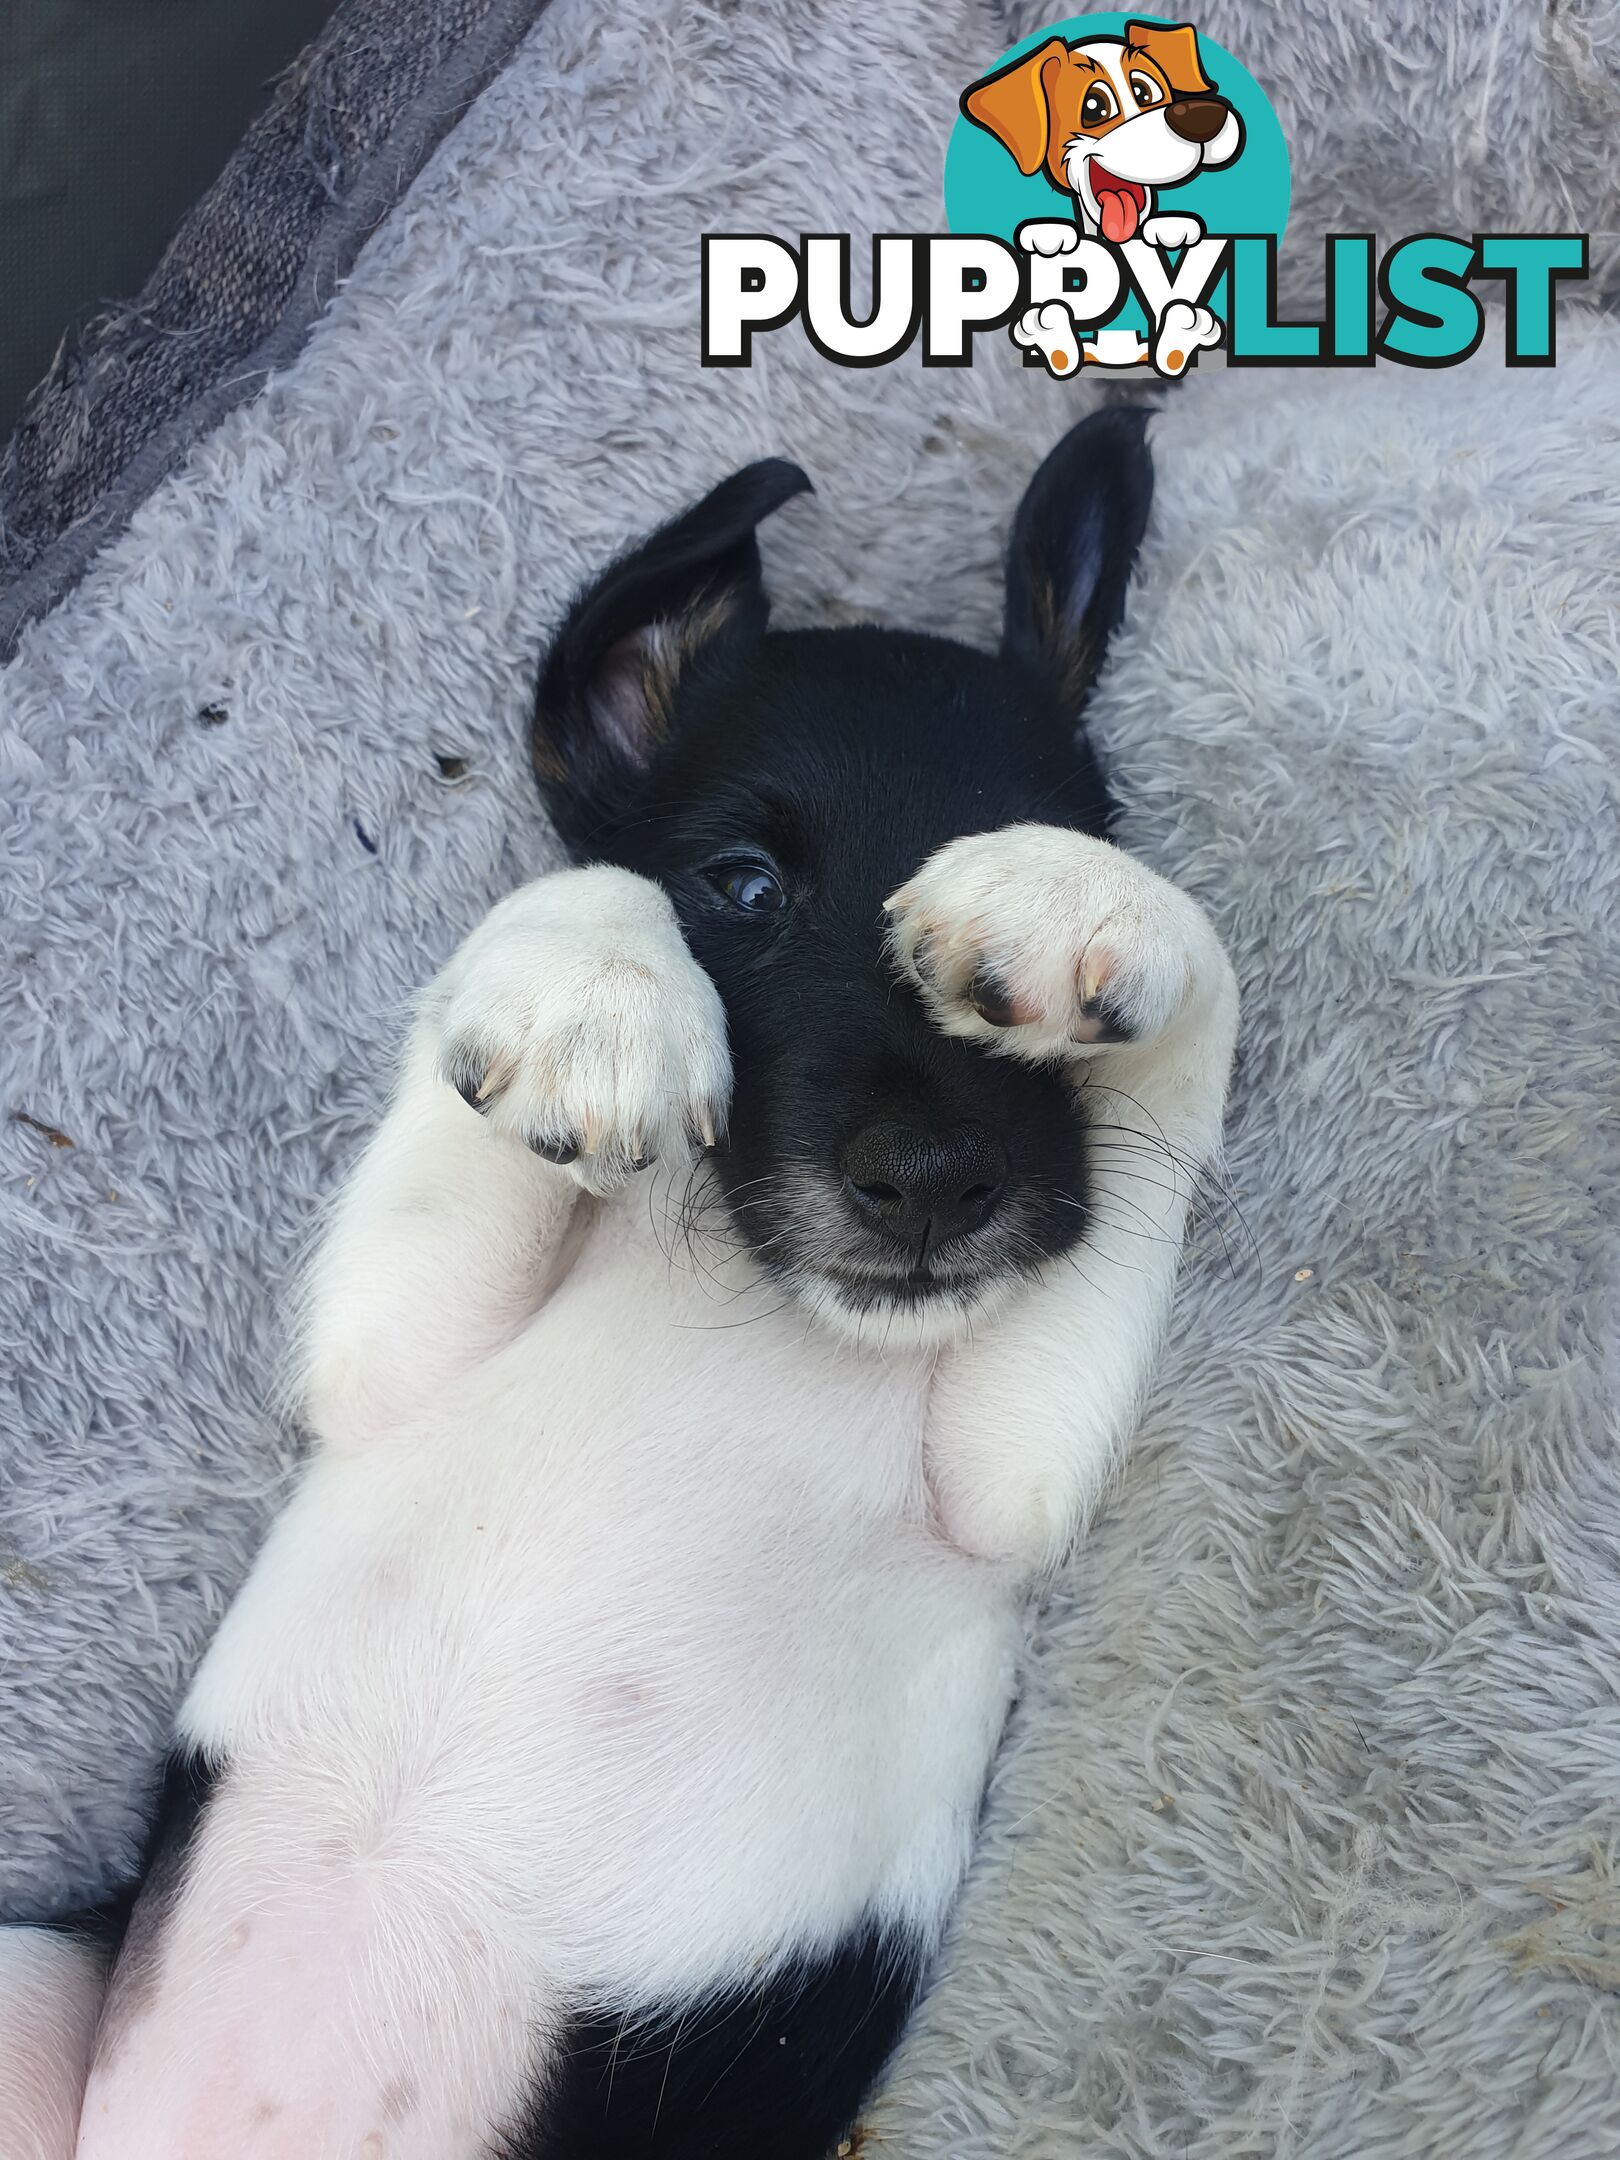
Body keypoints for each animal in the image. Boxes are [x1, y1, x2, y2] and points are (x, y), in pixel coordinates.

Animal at [3, 408, 1244, 2160]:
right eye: (744, 886)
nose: (938, 1182)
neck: (730, 1298)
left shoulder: (1010, 1478)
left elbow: (1194, 989)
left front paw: (1076, 905)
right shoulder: (388, 1355)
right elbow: (581, 895)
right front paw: (603, 992)